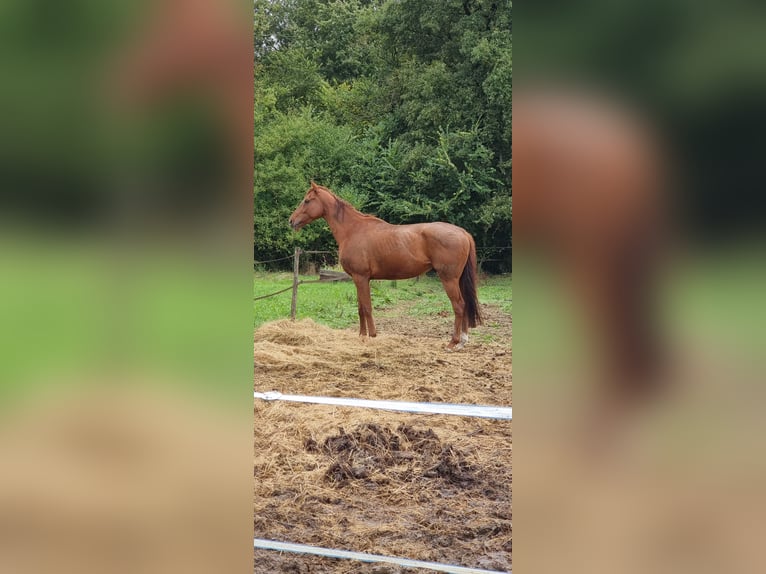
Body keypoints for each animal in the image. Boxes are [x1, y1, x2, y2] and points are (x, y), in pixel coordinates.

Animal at [292, 183, 484, 352]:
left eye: (307, 201)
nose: (291, 221)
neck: (353, 230)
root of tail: (463, 232)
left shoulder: (361, 277)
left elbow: (367, 308)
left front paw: (371, 336)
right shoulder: (358, 279)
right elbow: (360, 308)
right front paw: (362, 336)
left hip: (449, 279)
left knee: (459, 306)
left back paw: (453, 343)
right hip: (458, 280)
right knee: (465, 304)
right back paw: (462, 342)